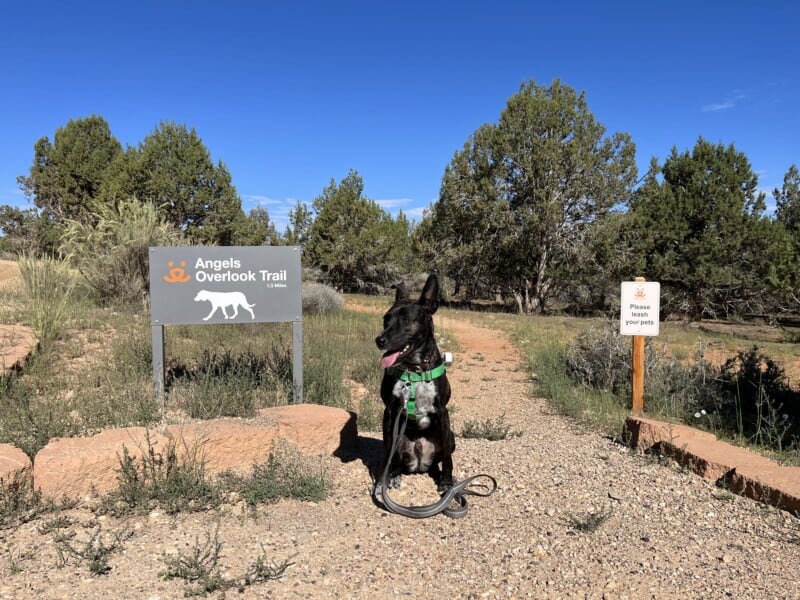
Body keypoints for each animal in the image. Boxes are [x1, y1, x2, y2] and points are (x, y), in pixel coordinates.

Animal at [372, 274, 454, 494]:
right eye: (385, 319)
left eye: (406, 320)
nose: (379, 340)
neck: (414, 369)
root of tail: (419, 462)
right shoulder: (390, 412)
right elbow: (386, 452)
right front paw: (381, 481)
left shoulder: (442, 411)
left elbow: (448, 458)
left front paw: (447, 482)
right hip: (400, 438)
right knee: (395, 458)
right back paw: (393, 475)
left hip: (451, 437)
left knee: (441, 459)